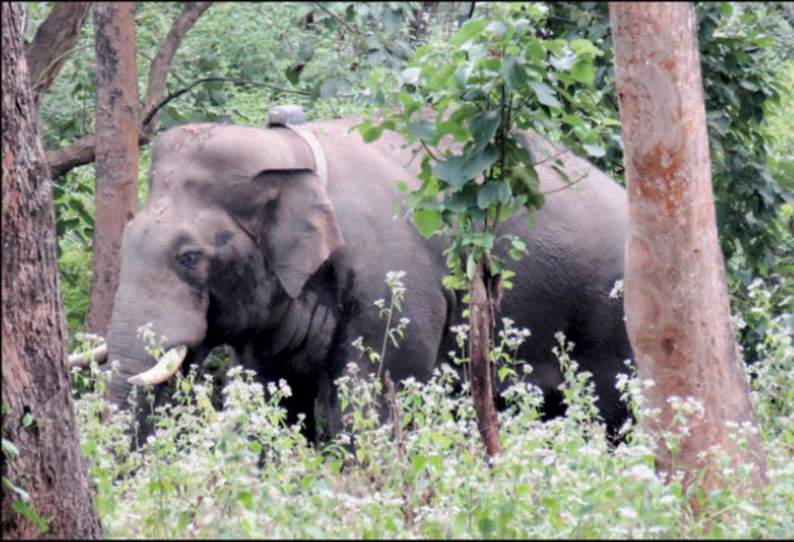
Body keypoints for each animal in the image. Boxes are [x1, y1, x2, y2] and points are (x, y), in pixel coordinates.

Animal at [102, 113, 632, 446]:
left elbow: (370, 399)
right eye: (124, 237)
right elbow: (273, 396)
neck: (291, 150)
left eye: (190, 257)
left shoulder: (391, 287)